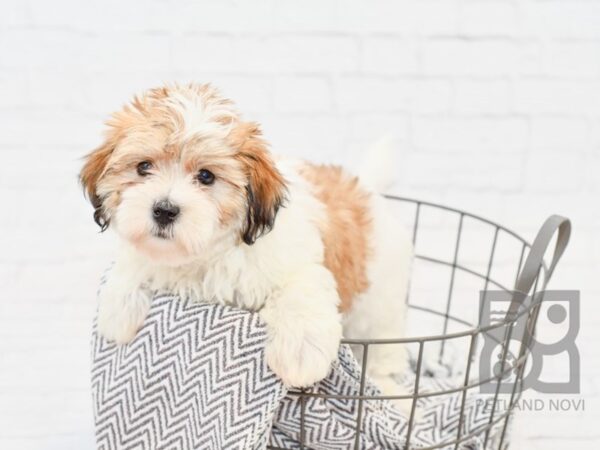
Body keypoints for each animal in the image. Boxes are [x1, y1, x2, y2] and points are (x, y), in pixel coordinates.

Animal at [81, 82, 412, 396]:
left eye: (206, 176)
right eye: (143, 167)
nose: (164, 210)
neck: (208, 256)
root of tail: (364, 186)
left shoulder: (299, 265)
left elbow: (300, 293)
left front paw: (300, 353)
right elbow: (133, 261)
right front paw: (117, 312)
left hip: (380, 304)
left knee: (383, 354)